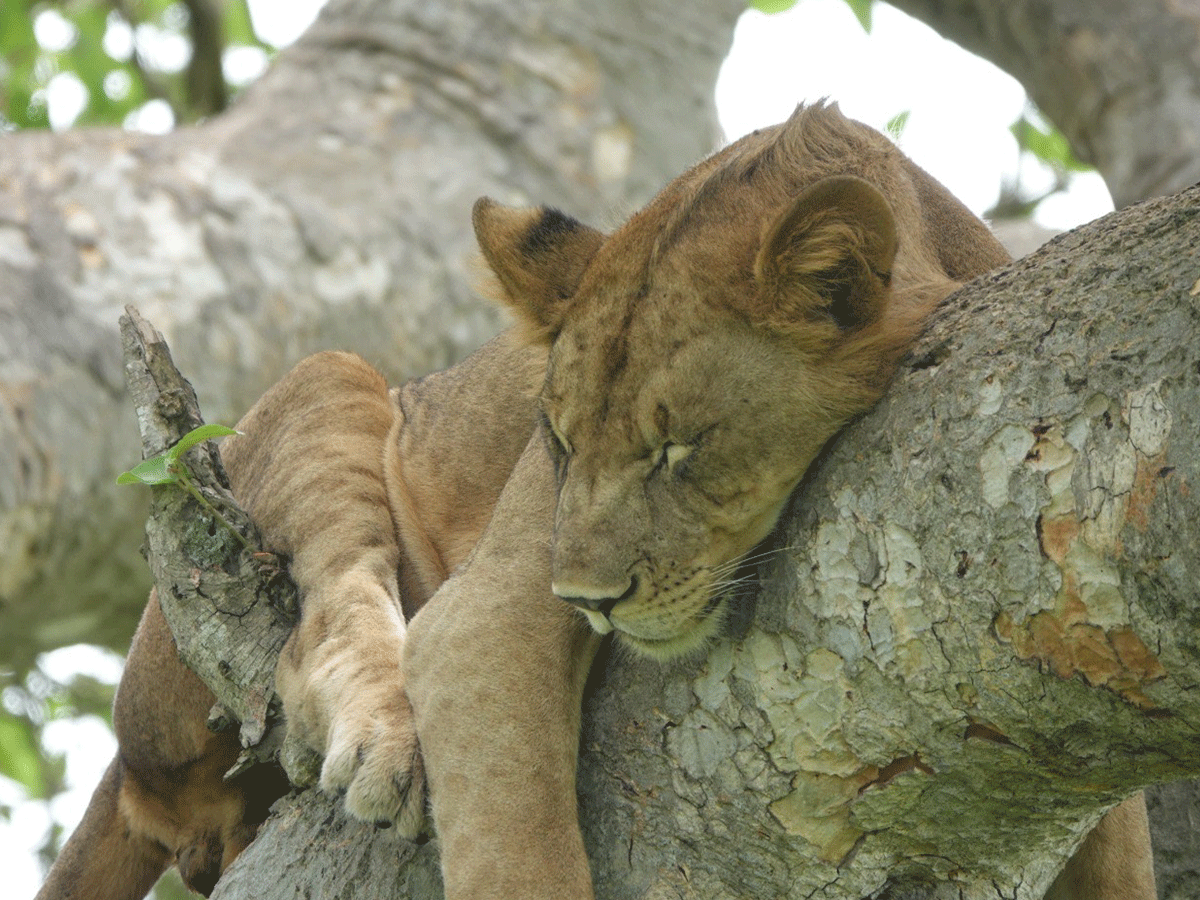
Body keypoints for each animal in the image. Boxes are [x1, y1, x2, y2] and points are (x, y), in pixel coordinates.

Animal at [32, 103, 1147, 900]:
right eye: (559, 442)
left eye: (676, 449)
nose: (587, 599)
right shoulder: (486, 610)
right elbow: (517, 847)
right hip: (329, 384)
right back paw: (377, 748)